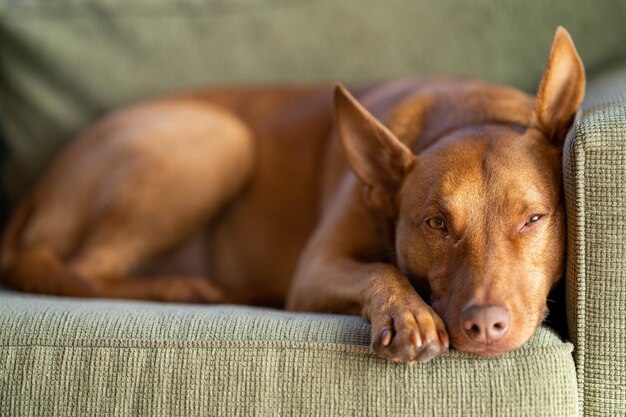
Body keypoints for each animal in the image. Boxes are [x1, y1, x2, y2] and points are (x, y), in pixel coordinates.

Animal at [2, 27, 584, 362]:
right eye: (436, 224)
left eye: (534, 219)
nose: (484, 324)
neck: (464, 111)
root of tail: (40, 186)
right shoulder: (315, 268)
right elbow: (380, 268)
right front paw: (409, 314)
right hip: (218, 139)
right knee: (85, 271)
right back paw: (188, 290)